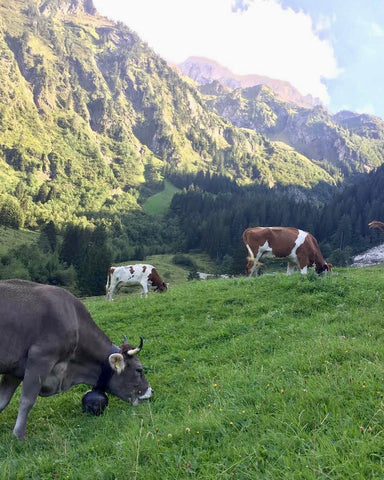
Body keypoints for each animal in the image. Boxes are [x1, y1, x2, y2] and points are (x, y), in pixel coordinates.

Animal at [0, 280, 153, 440]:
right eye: (139, 370)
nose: (150, 391)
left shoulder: (15, 370)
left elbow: (2, 401)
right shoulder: (40, 359)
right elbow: (27, 400)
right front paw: (19, 436)